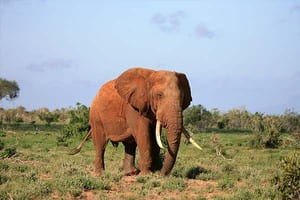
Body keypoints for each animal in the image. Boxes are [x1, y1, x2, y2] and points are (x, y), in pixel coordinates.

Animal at [71, 67, 202, 175]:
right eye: (159, 95)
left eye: (182, 97)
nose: (161, 174)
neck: (152, 75)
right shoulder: (133, 107)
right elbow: (143, 134)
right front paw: (148, 174)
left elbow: (154, 136)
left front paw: (153, 172)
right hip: (96, 117)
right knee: (100, 144)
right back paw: (100, 174)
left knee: (130, 144)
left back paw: (130, 173)